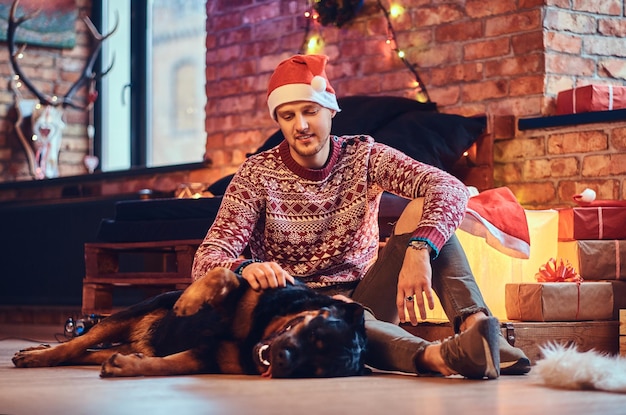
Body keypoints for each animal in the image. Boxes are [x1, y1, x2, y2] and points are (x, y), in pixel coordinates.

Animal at [13, 268, 366, 378]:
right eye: (315, 333)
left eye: (314, 370)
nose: (283, 359)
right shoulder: (243, 292)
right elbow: (224, 276)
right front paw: (189, 301)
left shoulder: (205, 356)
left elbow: (167, 366)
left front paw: (125, 366)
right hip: (125, 316)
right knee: (77, 343)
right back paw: (36, 355)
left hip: (135, 342)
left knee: (86, 352)